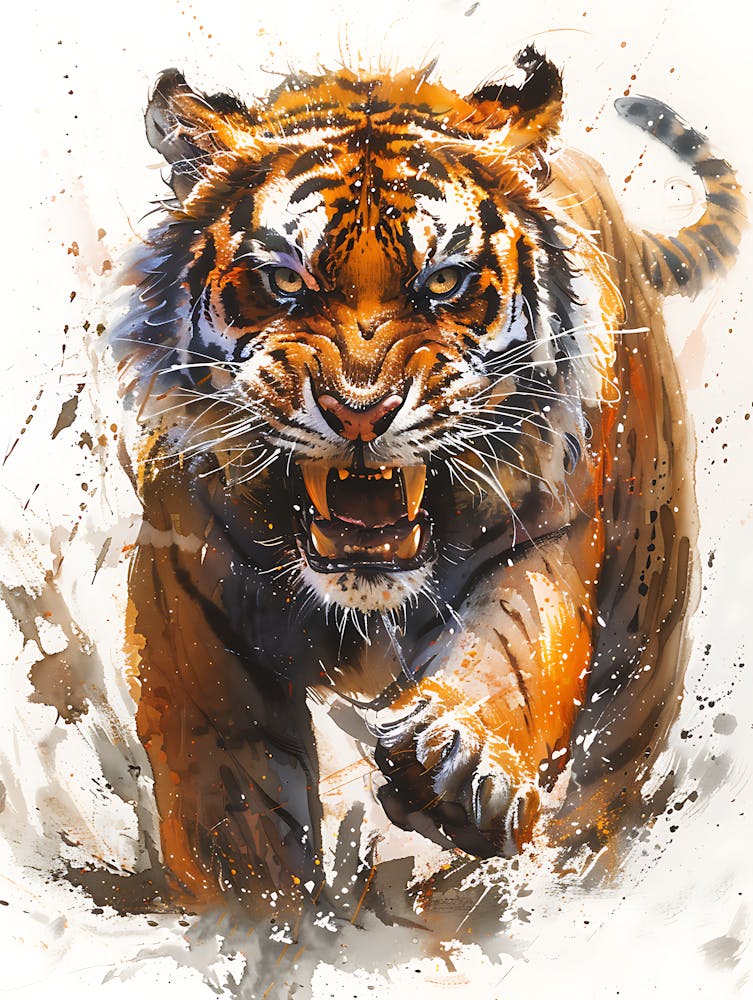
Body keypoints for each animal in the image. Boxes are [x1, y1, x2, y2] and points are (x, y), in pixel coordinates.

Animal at [111, 46, 743, 919]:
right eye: (284, 282)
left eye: (442, 283)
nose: (360, 409)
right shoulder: (190, 608)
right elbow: (231, 817)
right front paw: (261, 917)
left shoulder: (540, 541)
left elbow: (509, 654)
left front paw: (455, 763)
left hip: (646, 626)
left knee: (611, 774)